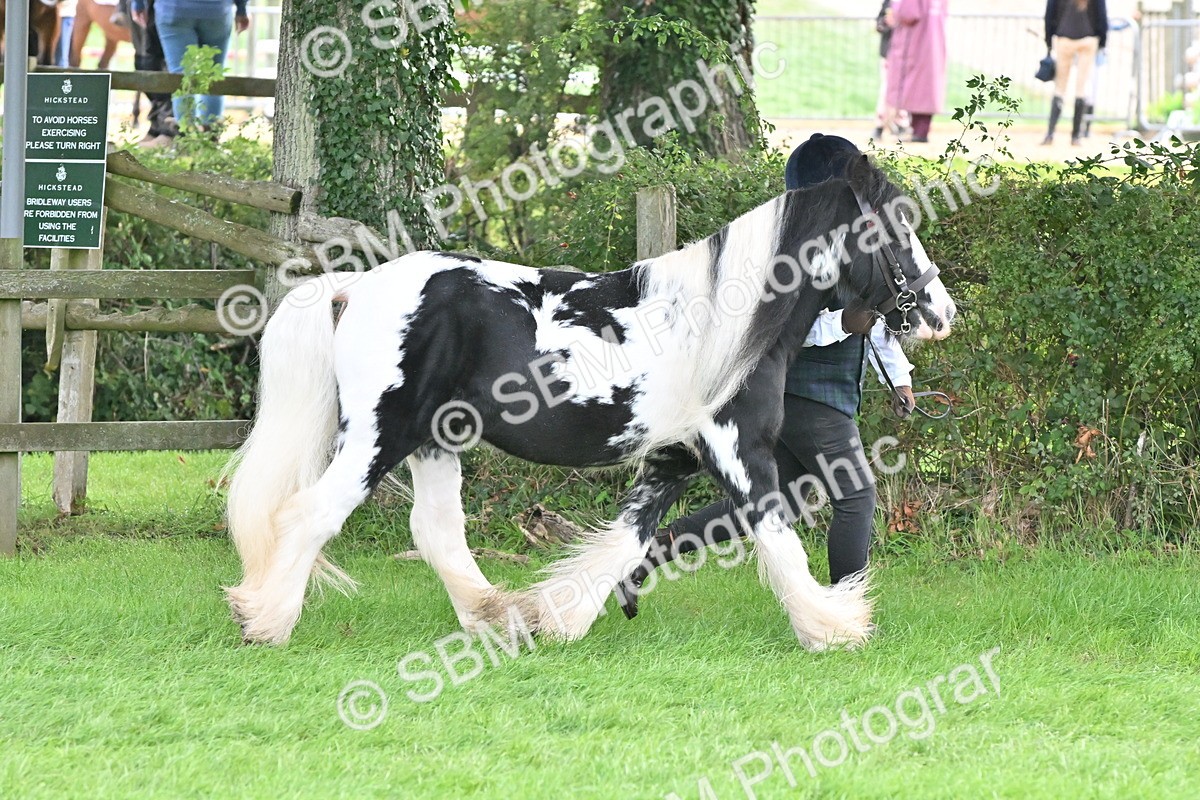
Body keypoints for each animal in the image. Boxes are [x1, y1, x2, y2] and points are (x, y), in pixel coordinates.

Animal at [223, 154, 957, 651]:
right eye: (896, 229)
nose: (941, 314)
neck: (727, 325)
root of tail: (354, 287)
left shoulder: (673, 458)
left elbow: (631, 537)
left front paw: (561, 619)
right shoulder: (737, 450)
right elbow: (777, 538)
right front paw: (836, 625)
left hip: (435, 439)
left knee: (435, 532)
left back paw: (499, 617)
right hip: (381, 435)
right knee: (310, 514)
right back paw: (265, 621)